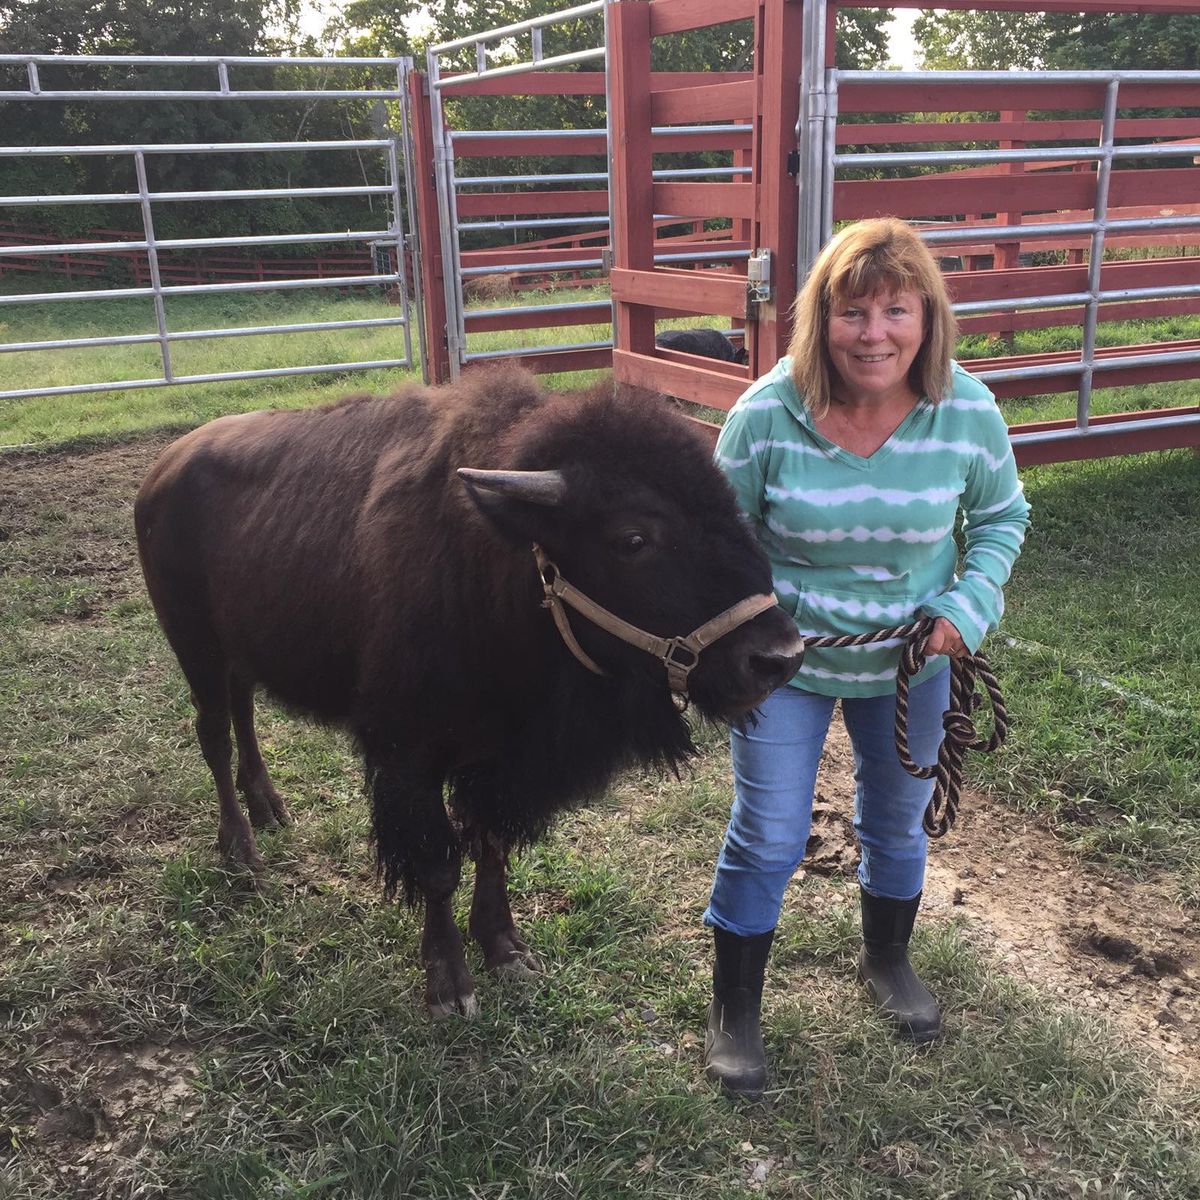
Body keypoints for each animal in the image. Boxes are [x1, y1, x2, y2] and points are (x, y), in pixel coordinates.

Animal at [133, 364, 806, 1012]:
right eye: (633, 537)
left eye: (732, 510)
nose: (778, 657)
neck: (504, 562)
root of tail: (164, 468)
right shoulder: (410, 758)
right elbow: (438, 864)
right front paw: (449, 985)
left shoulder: (503, 762)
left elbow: (491, 844)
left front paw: (505, 949)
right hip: (195, 648)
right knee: (214, 734)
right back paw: (241, 849)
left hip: (239, 653)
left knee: (244, 717)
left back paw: (270, 808)